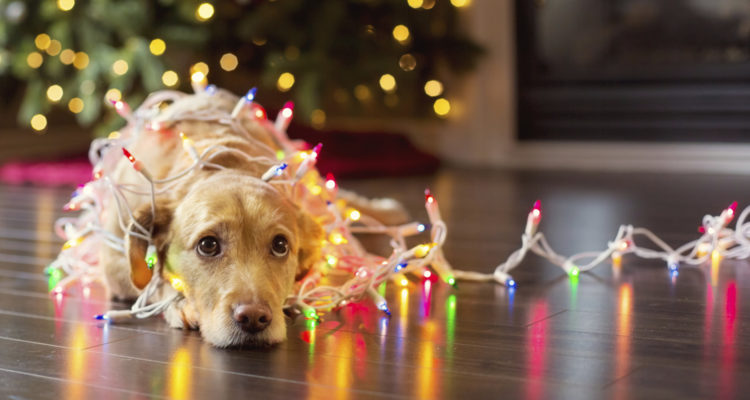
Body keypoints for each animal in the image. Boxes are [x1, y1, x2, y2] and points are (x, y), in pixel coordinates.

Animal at [100, 89, 408, 346]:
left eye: (280, 245)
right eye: (207, 245)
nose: (253, 318)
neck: (222, 163)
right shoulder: (112, 260)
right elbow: (154, 280)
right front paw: (177, 302)